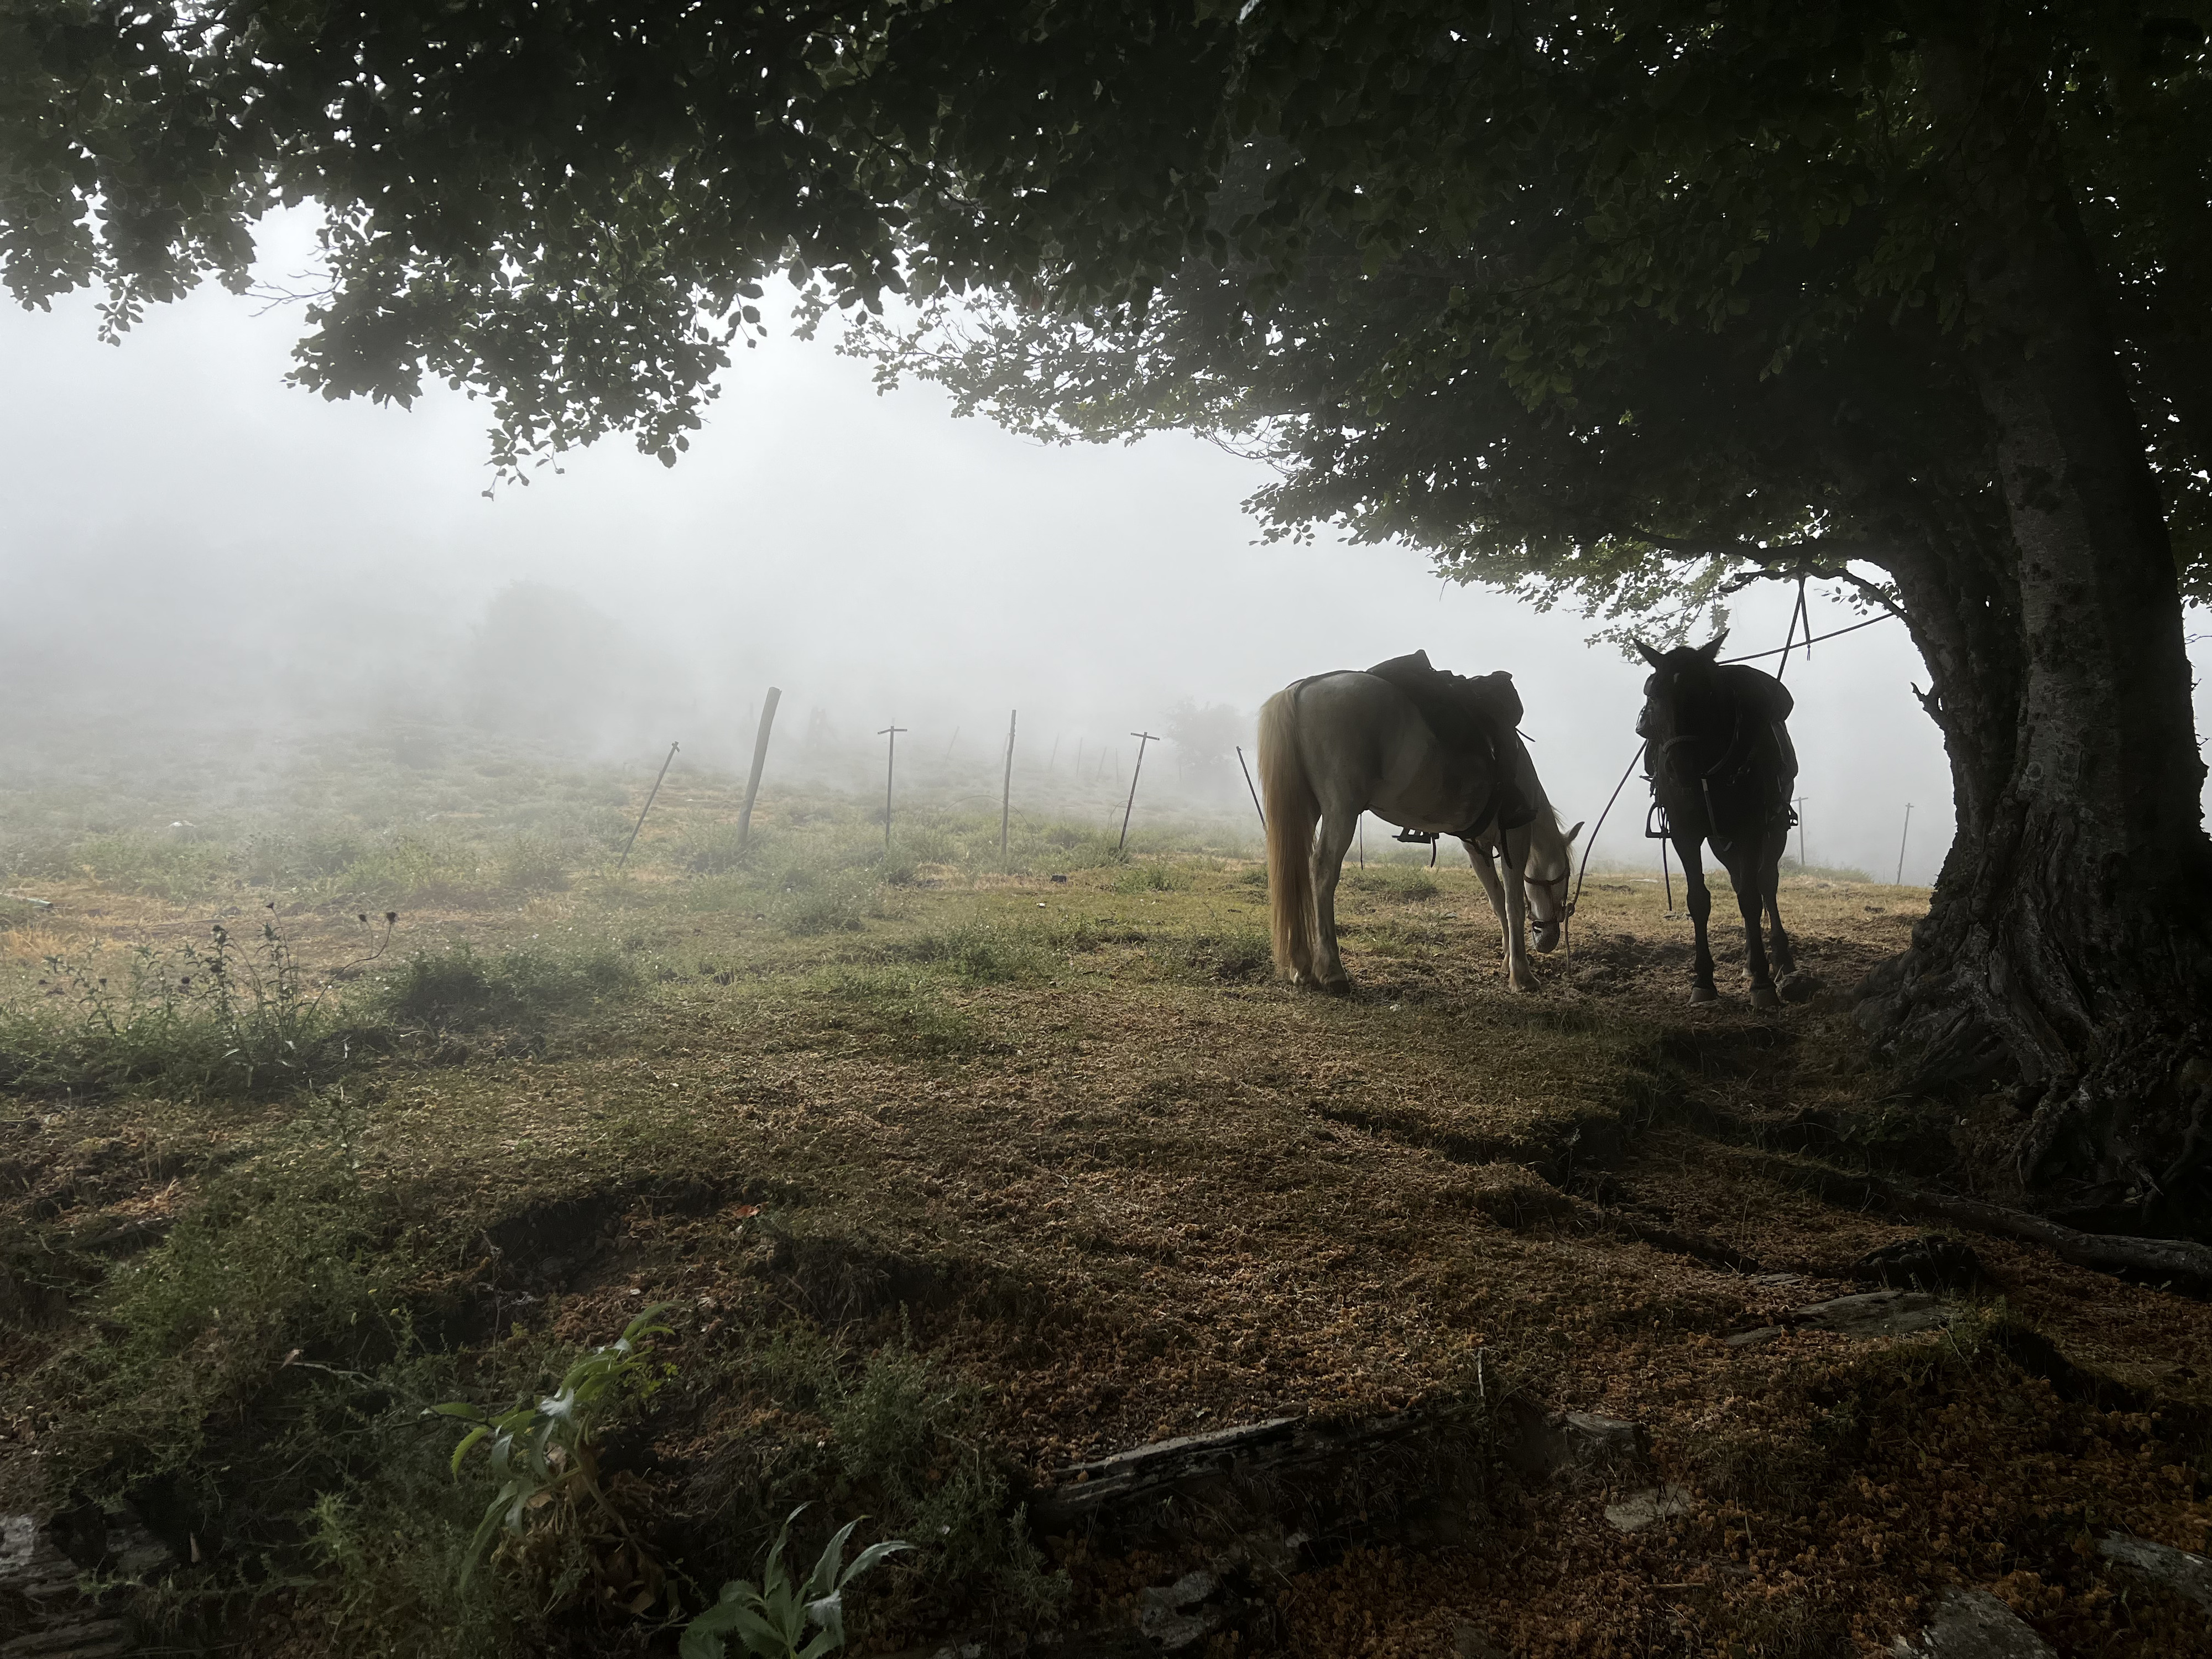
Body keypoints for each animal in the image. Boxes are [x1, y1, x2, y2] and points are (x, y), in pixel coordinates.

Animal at [1256, 668, 1584, 995]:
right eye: (1566, 875)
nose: (1548, 940)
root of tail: (1303, 688)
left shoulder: (1476, 847)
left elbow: (1496, 899)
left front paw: (1506, 962)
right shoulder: (1514, 839)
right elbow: (1513, 904)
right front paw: (1522, 975)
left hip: (1308, 810)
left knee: (1296, 870)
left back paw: (1301, 968)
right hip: (1342, 810)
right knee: (1323, 871)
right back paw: (1332, 972)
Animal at [1637, 637, 1805, 1009]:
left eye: (1707, 692)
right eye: (1654, 694)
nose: (1680, 767)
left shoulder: (1751, 829)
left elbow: (1752, 899)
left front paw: (1762, 984)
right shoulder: (1686, 835)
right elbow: (1699, 900)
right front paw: (1703, 981)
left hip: (1774, 830)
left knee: (1765, 882)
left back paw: (1781, 962)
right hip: (1720, 841)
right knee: (1740, 878)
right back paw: (1750, 958)